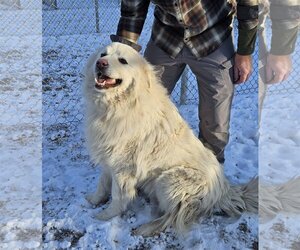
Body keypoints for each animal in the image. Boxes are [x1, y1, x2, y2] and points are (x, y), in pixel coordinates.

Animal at [83, 43, 256, 236]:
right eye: (102, 54)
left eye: (123, 60)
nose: (101, 63)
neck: (117, 105)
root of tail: (224, 191)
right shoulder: (108, 158)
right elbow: (102, 184)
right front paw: (94, 200)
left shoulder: (123, 168)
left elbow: (117, 197)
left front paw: (104, 216)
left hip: (167, 181)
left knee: (173, 216)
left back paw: (145, 228)